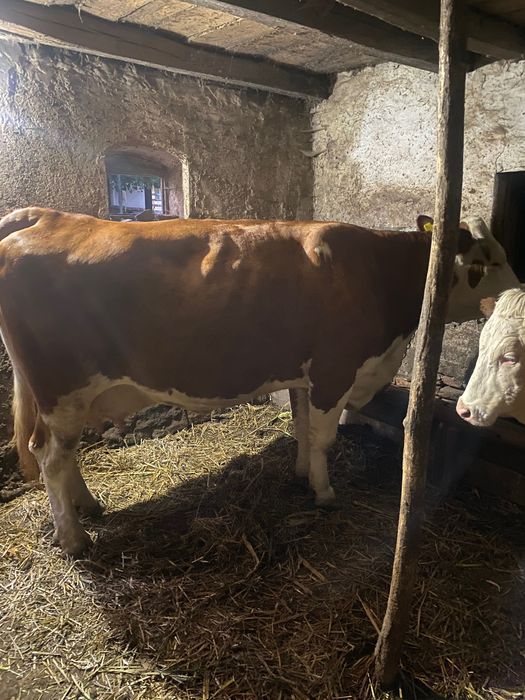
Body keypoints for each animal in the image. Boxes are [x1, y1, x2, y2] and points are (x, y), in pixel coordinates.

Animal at [0, 207, 518, 556]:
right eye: (483, 260)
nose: (516, 292)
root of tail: (46, 216)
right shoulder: (334, 369)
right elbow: (324, 437)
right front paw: (324, 493)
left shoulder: (304, 376)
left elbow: (303, 428)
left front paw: (302, 474)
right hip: (62, 390)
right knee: (50, 457)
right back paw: (73, 538)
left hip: (66, 399)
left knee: (66, 456)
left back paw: (87, 506)